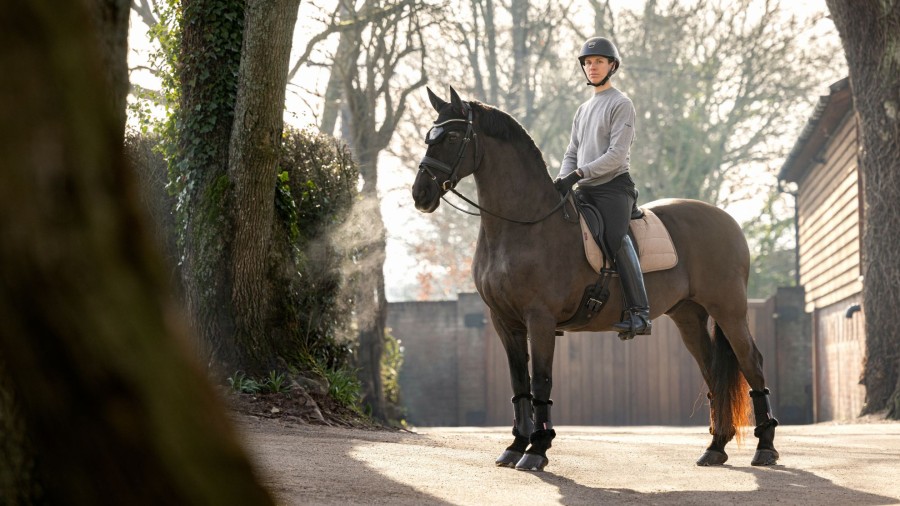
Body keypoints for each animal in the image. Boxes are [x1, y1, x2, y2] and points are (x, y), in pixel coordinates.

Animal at [412, 87, 776, 470]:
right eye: (429, 136)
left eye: (452, 137)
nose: (420, 194)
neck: (525, 223)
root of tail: (728, 220)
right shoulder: (505, 322)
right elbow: (519, 383)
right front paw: (515, 447)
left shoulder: (540, 320)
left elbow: (541, 382)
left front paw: (537, 449)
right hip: (689, 315)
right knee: (712, 371)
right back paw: (715, 447)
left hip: (729, 310)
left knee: (752, 363)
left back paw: (765, 447)